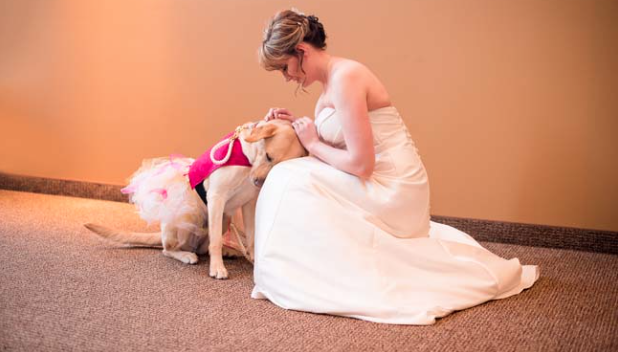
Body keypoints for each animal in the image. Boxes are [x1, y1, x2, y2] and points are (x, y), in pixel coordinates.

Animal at [85, 119, 306, 280]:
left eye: (277, 165)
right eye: (268, 156)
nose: (258, 182)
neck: (247, 159)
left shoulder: (249, 204)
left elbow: (251, 239)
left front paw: (253, 262)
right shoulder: (216, 197)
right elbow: (215, 242)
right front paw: (217, 268)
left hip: (225, 219)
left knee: (203, 247)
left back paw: (229, 251)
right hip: (188, 219)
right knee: (169, 250)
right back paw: (186, 255)